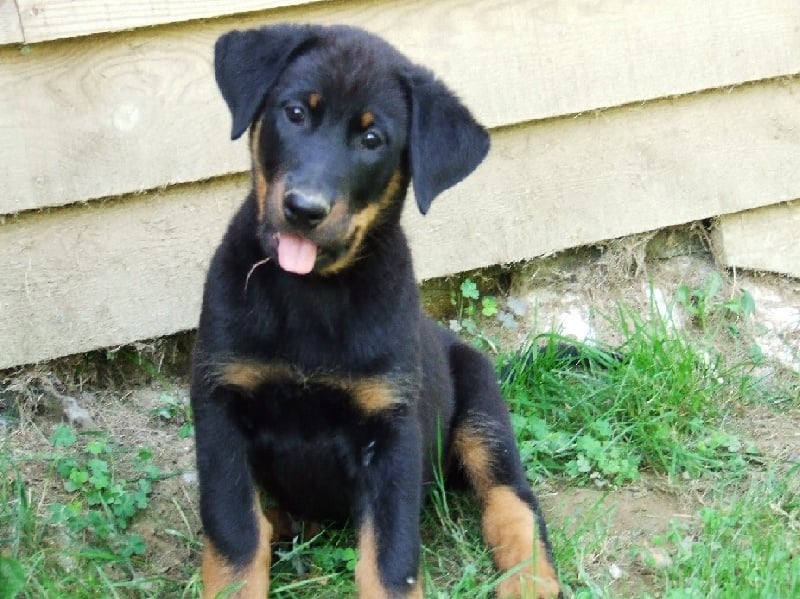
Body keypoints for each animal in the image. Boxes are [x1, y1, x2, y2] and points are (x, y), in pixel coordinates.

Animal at [191, 23, 560, 598]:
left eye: (372, 140)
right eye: (294, 113)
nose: (304, 209)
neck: (312, 296)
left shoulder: (392, 429)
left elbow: (390, 561)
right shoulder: (219, 405)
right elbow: (235, 542)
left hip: (481, 409)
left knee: (512, 500)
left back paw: (529, 580)